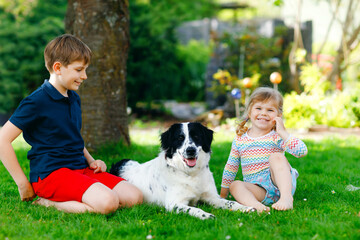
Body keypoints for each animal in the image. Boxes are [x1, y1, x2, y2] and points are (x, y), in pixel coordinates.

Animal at [109, 123, 253, 218]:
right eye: (179, 138)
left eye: (196, 136)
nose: (190, 150)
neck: (190, 174)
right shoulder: (174, 204)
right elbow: (194, 210)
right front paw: (207, 215)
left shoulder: (212, 197)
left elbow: (230, 202)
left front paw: (246, 208)